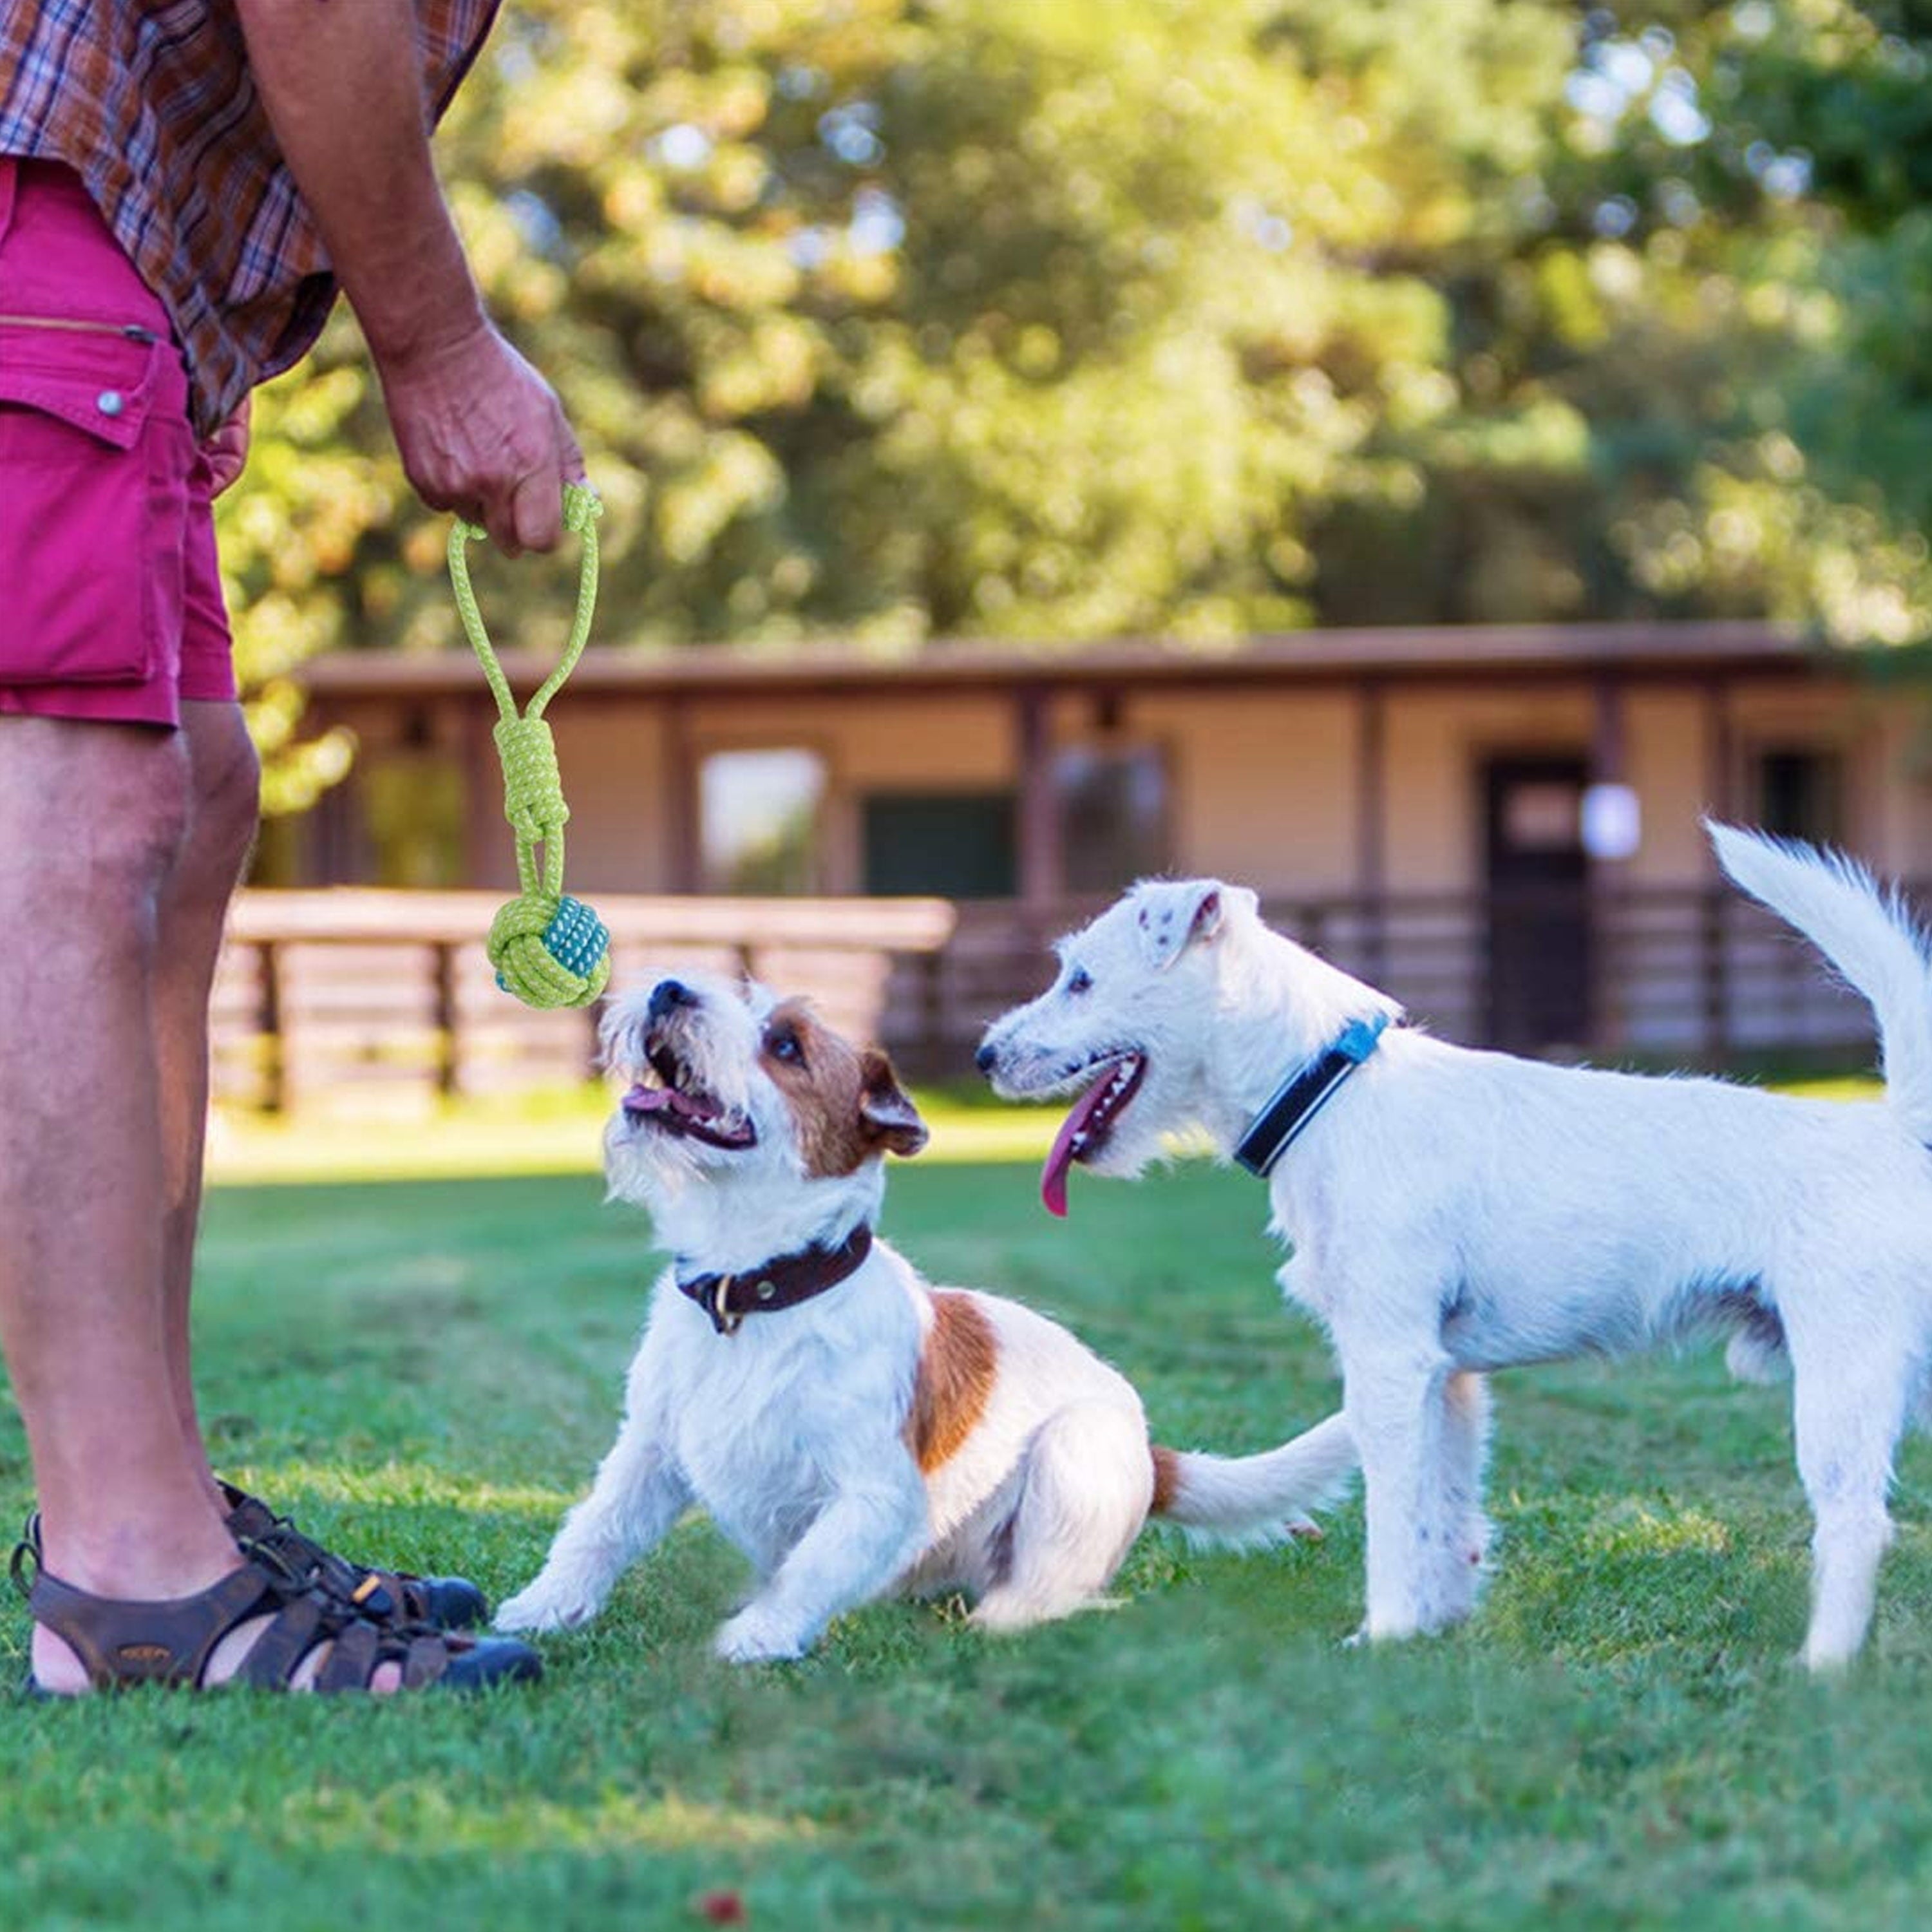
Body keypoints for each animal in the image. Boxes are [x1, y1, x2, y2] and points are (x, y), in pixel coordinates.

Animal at [491, 974, 1352, 1669]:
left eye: (785, 1044)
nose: (670, 987)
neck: (756, 1291)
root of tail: (1153, 1454)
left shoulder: (876, 1496)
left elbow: (813, 1565)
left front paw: (760, 1635)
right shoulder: (649, 1453)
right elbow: (597, 1529)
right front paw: (542, 1608)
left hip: (1075, 1451)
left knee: (1057, 1597)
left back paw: (1002, 1619)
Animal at [989, 823, 1932, 1669]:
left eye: (1081, 979)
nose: (985, 1053)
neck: (1326, 1090)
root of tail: (1895, 1135)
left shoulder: (1389, 1364)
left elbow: (1394, 1515)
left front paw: (1383, 1635)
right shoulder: (1448, 1378)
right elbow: (1443, 1511)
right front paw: (1435, 1627)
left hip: (1841, 1379)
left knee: (1854, 1522)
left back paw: (1821, 1670)